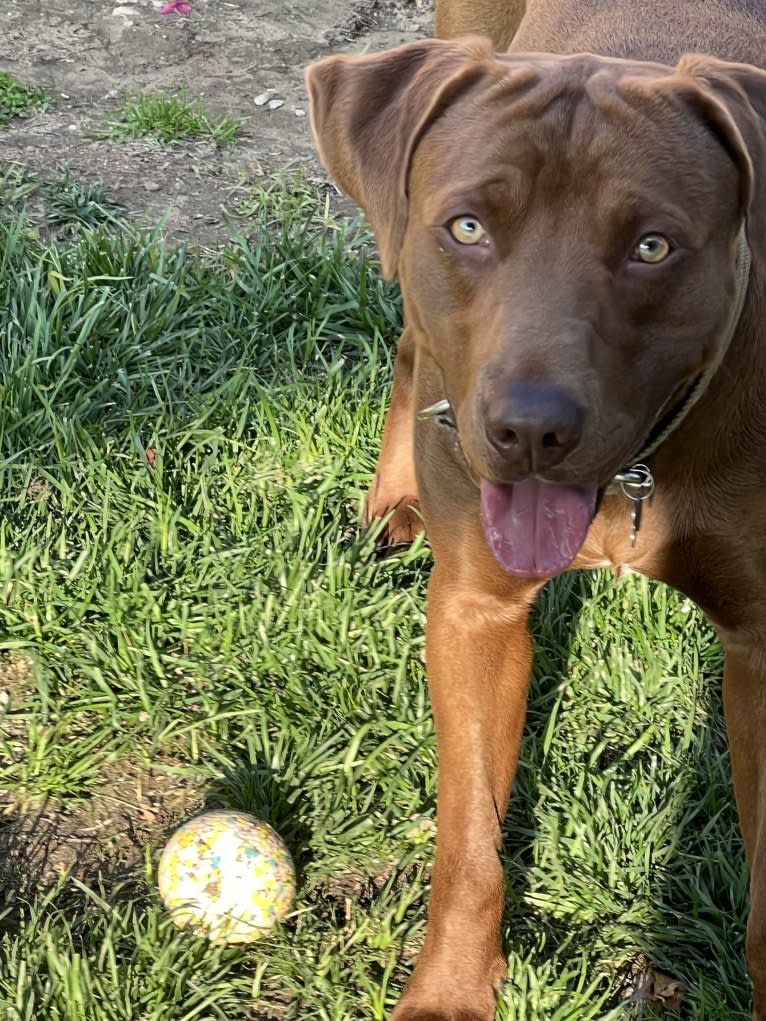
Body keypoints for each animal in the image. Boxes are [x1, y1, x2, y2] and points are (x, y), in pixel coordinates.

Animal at [308, 3, 766, 1016]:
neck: (639, 472)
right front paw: (447, 992)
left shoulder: (765, 647)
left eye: (652, 246)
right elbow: (467, 842)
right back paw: (392, 498)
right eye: (469, 226)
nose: (528, 430)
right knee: (411, 343)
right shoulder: (474, 610)